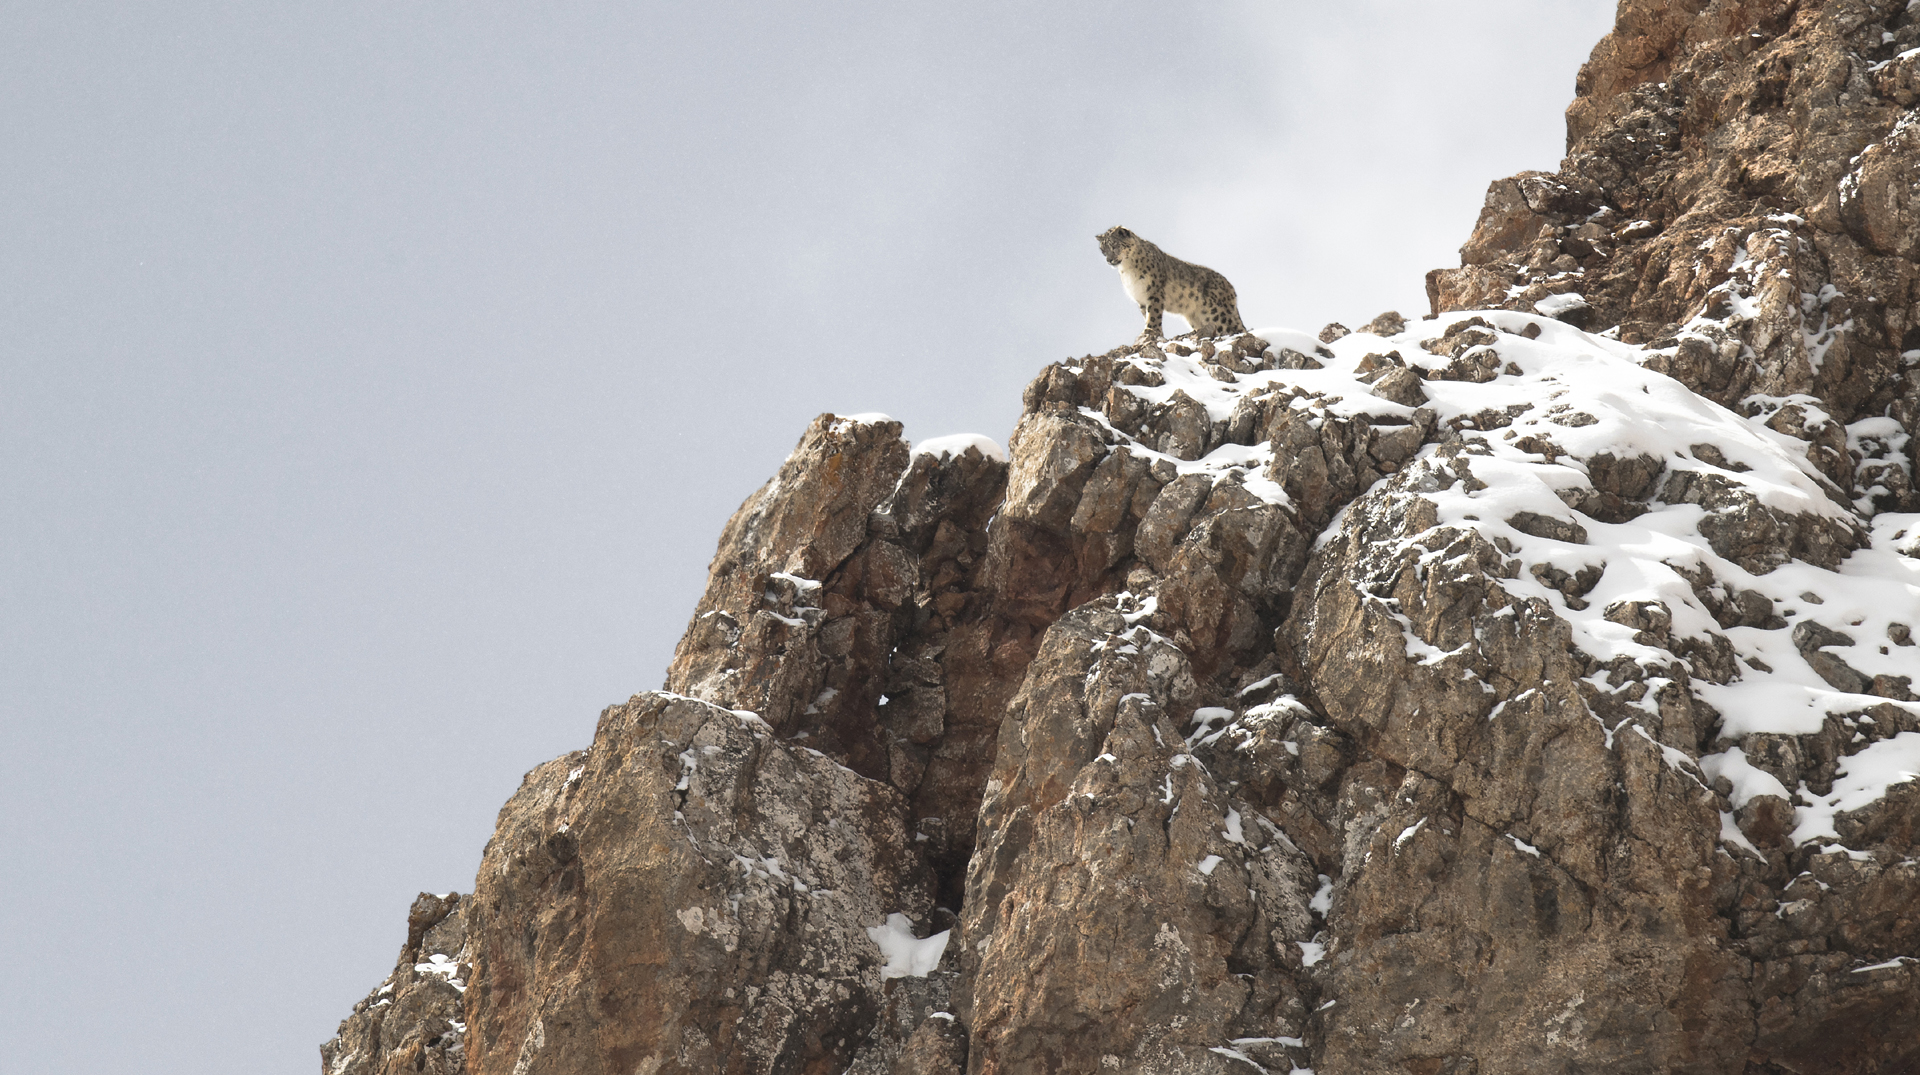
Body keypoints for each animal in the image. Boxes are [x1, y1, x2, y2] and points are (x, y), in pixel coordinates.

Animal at [1098, 225, 1244, 339]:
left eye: (1114, 245)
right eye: (1103, 250)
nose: (1109, 260)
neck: (1127, 269)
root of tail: (1231, 287)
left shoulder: (1154, 292)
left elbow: (1153, 314)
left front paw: (1150, 331)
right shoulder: (1140, 298)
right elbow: (1146, 315)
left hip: (1218, 313)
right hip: (1198, 317)